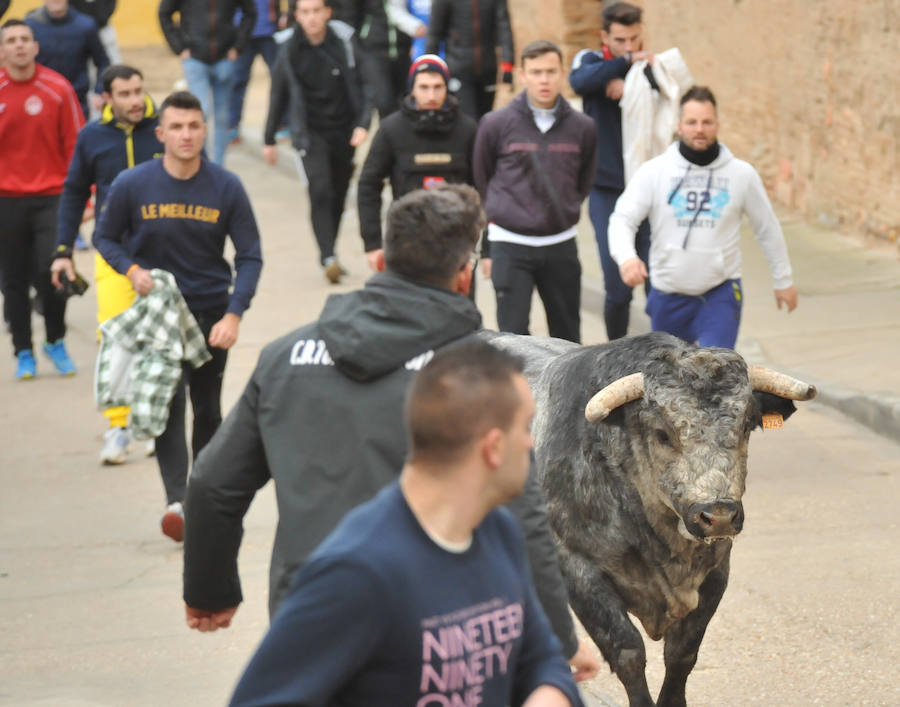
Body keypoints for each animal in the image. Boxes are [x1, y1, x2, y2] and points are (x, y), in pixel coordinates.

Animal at [482, 332, 820, 707]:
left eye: (746, 425)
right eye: (662, 434)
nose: (717, 515)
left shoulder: (717, 573)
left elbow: (682, 654)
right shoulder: (578, 569)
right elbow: (628, 651)